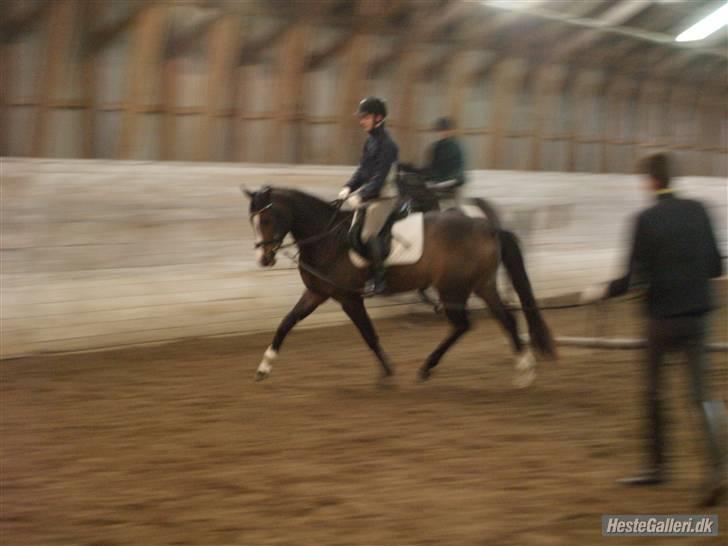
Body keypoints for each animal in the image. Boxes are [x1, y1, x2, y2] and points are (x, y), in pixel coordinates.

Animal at [242, 185, 556, 384]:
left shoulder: (349, 298)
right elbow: (286, 322)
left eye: (267, 219)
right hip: (481, 284)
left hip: (453, 288)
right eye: (252, 221)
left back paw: (429, 367)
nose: (263, 258)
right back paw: (525, 370)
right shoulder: (317, 292)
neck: (326, 237)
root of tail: (488, 227)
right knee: (505, 319)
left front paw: (388, 372)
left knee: (464, 324)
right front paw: (264, 367)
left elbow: (369, 334)